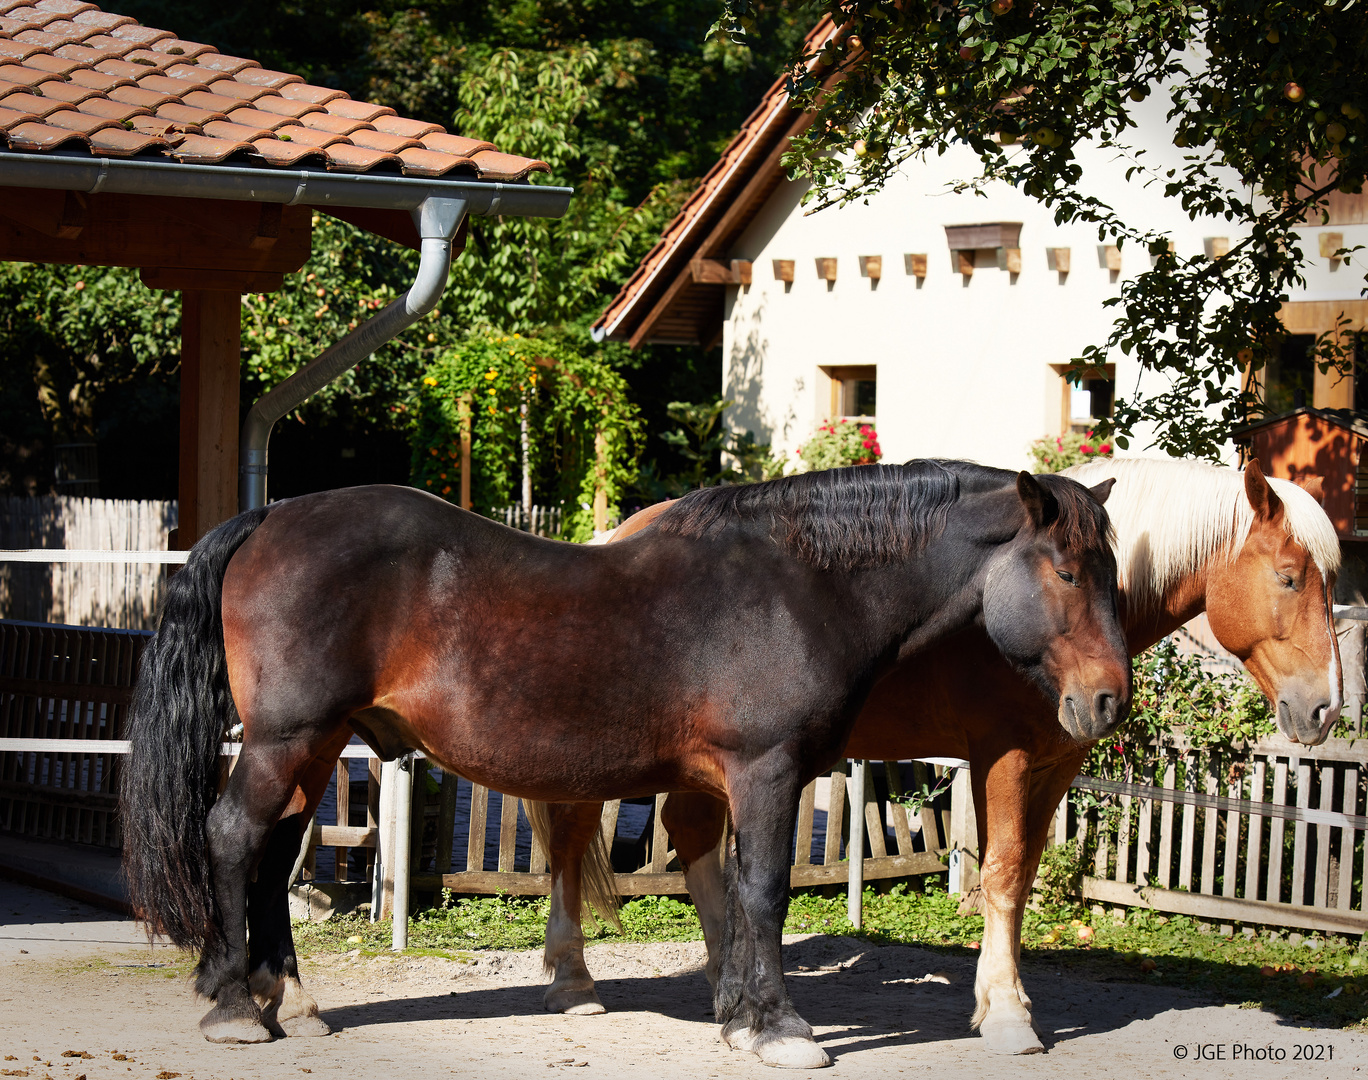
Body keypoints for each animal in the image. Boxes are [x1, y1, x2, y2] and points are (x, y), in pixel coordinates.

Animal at [117, 459, 1127, 1067]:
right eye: (1068, 572)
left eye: (1113, 576)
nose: (1110, 701)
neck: (799, 587)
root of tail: (267, 520)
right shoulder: (769, 772)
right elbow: (762, 893)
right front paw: (783, 1030)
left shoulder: (723, 783)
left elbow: (727, 893)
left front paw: (739, 1020)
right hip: (288, 739)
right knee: (233, 835)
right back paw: (235, 1009)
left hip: (316, 745)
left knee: (273, 853)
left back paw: (285, 999)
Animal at [530, 454, 1335, 1051]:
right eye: (1290, 577)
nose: (1326, 707)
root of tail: (615, 537)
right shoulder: (1004, 756)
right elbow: (1002, 875)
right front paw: (1007, 1015)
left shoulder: (1055, 764)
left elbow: (1020, 875)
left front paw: (1003, 997)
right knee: (575, 839)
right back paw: (576, 983)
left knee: (692, 836)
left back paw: (725, 984)